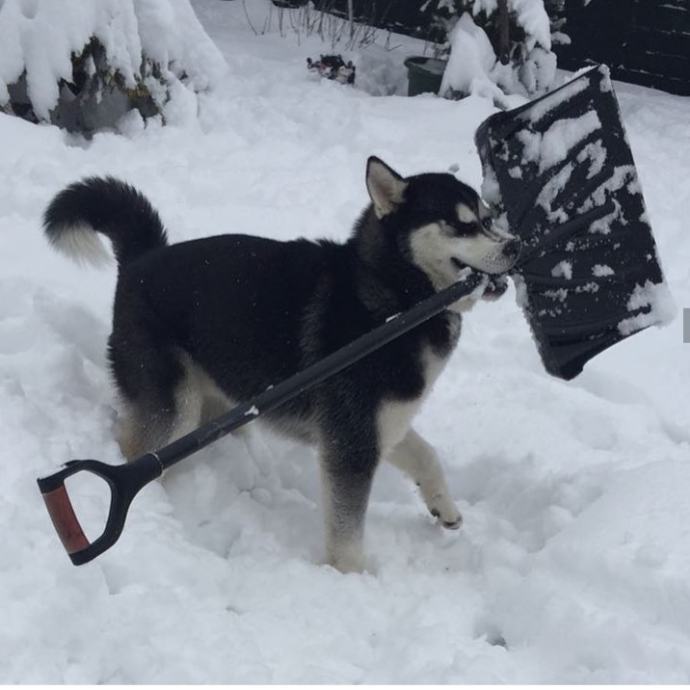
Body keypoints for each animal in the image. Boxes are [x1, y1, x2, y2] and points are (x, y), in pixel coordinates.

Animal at [44, 156, 516, 568]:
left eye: (487, 218)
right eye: (460, 223)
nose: (516, 246)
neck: (393, 299)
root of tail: (142, 256)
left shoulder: (383, 425)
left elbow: (427, 457)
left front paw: (445, 508)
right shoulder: (351, 442)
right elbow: (346, 531)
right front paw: (353, 577)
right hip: (174, 406)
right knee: (135, 447)